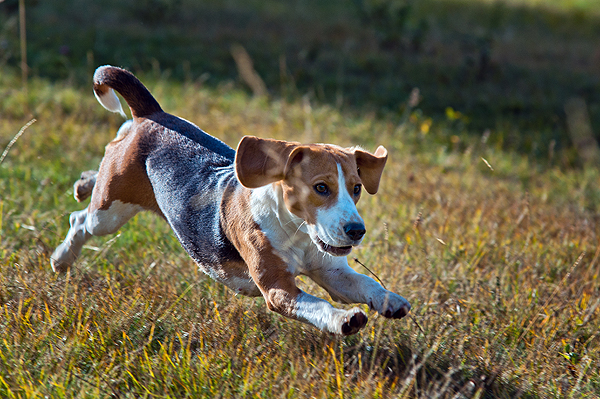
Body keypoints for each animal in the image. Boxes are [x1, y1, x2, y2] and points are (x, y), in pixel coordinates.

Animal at [51, 66, 410, 338]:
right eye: (321, 187)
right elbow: (317, 305)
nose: (357, 231)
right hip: (108, 213)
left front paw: (390, 301)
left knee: (108, 154)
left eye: (356, 188)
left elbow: (366, 284)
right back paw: (62, 258)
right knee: (80, 219)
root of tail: (152, 114)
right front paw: (343, 319)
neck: (297, 231)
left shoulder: (332, 272)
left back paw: (83, 183)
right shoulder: (278, 288)